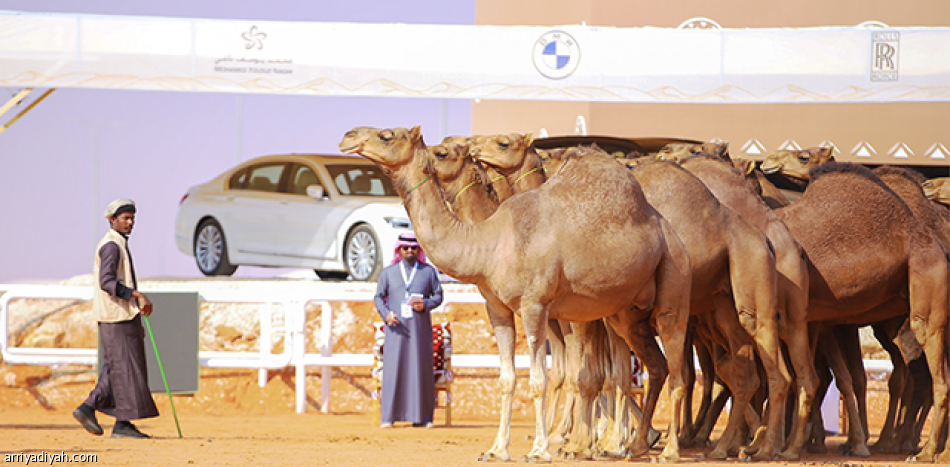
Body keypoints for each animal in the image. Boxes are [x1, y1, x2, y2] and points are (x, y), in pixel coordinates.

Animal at [338, 126, 696, 462]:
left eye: (387, 136)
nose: (348, 136)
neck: (491, 242)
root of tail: (666, 229)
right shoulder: (496, 308)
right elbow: (507, 378)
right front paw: (497, 449)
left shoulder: (535, 305)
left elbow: (539, 378)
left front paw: (540, 450)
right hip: (625, 312)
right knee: (654, 366)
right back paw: (636, 444)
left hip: (673, 282)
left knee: (677, 370)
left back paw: (666, 450)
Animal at [472, 137, 792, 462]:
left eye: (503, 143)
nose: (474, 147)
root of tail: (765, 239)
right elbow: (600, 375)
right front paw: (595, 441)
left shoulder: (589, 314)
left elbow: (602, 376)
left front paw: (596, 443)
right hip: (719, 307)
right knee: (736, 372)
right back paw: (726, 443)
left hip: (745, 286)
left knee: (762, 368)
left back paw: (759, 446)